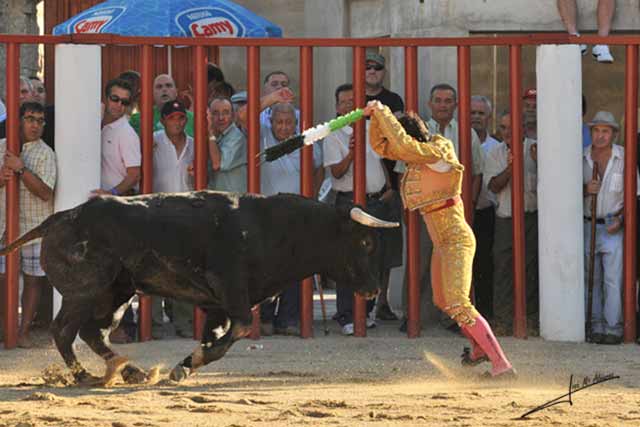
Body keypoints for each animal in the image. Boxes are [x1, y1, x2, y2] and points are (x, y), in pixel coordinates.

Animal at [0, 192, 398, 386]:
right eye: (365, 242)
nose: (372, 290)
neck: (273, 228)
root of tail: (62, 216)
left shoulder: (216, 307)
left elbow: (218, 337)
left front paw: (187, 366)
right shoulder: (232, 292)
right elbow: (240, 328)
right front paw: (183, 367)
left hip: (116, 294)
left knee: (92, 333)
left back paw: (131, 372)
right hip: (86, 290)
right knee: (63, 331)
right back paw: (86, 376)